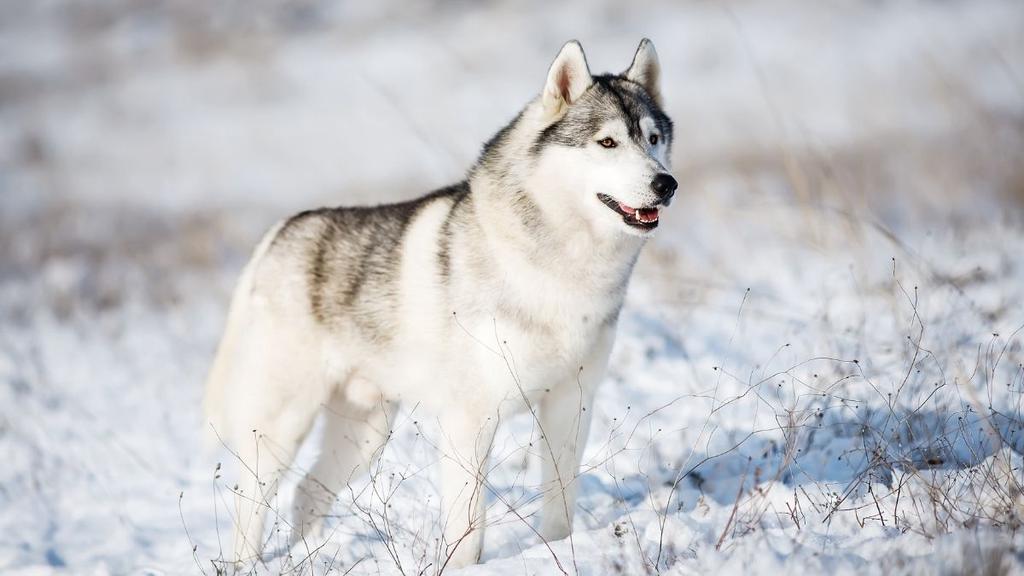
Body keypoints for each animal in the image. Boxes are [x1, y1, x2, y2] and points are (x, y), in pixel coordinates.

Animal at [203, 38, 675, 565]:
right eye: (607, 143)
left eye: (653, 139)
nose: (666, 184)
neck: (560, 269)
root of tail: (281, 229)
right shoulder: (471, 420)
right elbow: (469, 527)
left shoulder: (570, 404)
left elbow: (559, 507)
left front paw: (558, 552)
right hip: (284, 425)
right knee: (252, 504)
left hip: (366, 435)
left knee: (307, 491)